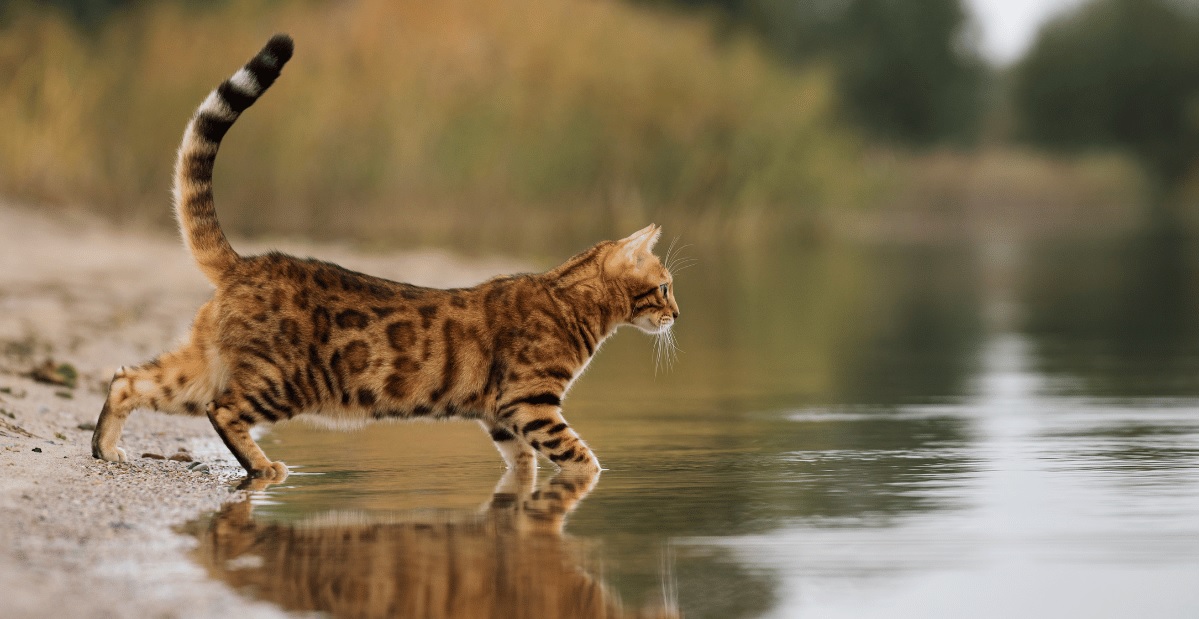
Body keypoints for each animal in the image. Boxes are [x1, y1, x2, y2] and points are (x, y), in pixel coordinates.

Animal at [88, 32, 681, 479]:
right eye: (666, 286)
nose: (677, 314)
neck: (571, 301)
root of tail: (248, 263)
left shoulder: (500, 414)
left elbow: (521, 462)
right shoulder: (529, 402)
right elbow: (578, 455)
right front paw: (590, 478)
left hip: (204, 366)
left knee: (128, 378)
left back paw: (105, 447)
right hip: (282, 381)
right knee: (223, 410)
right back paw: (264, 468)